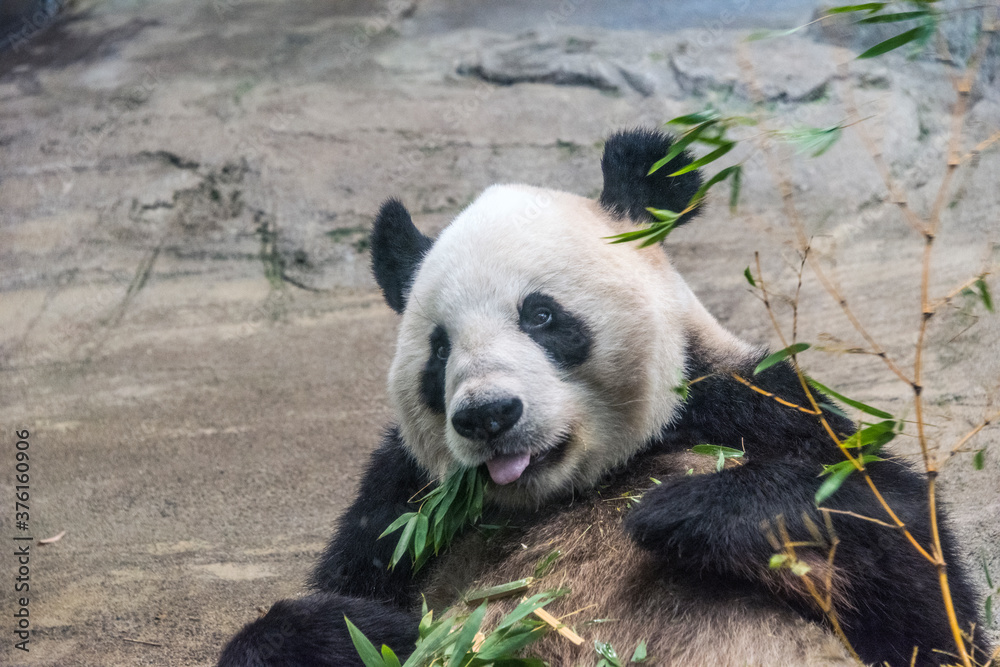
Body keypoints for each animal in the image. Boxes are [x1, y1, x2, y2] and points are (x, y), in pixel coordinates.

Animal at [218, 129, 988, 667]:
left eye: (541, 315)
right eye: (438, 348)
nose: (488, 416)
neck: (572, 488)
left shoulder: (746, 408)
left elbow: (918, 587)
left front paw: (683, 510)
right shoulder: (401, 506)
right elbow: (333, 611)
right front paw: (377, 630)